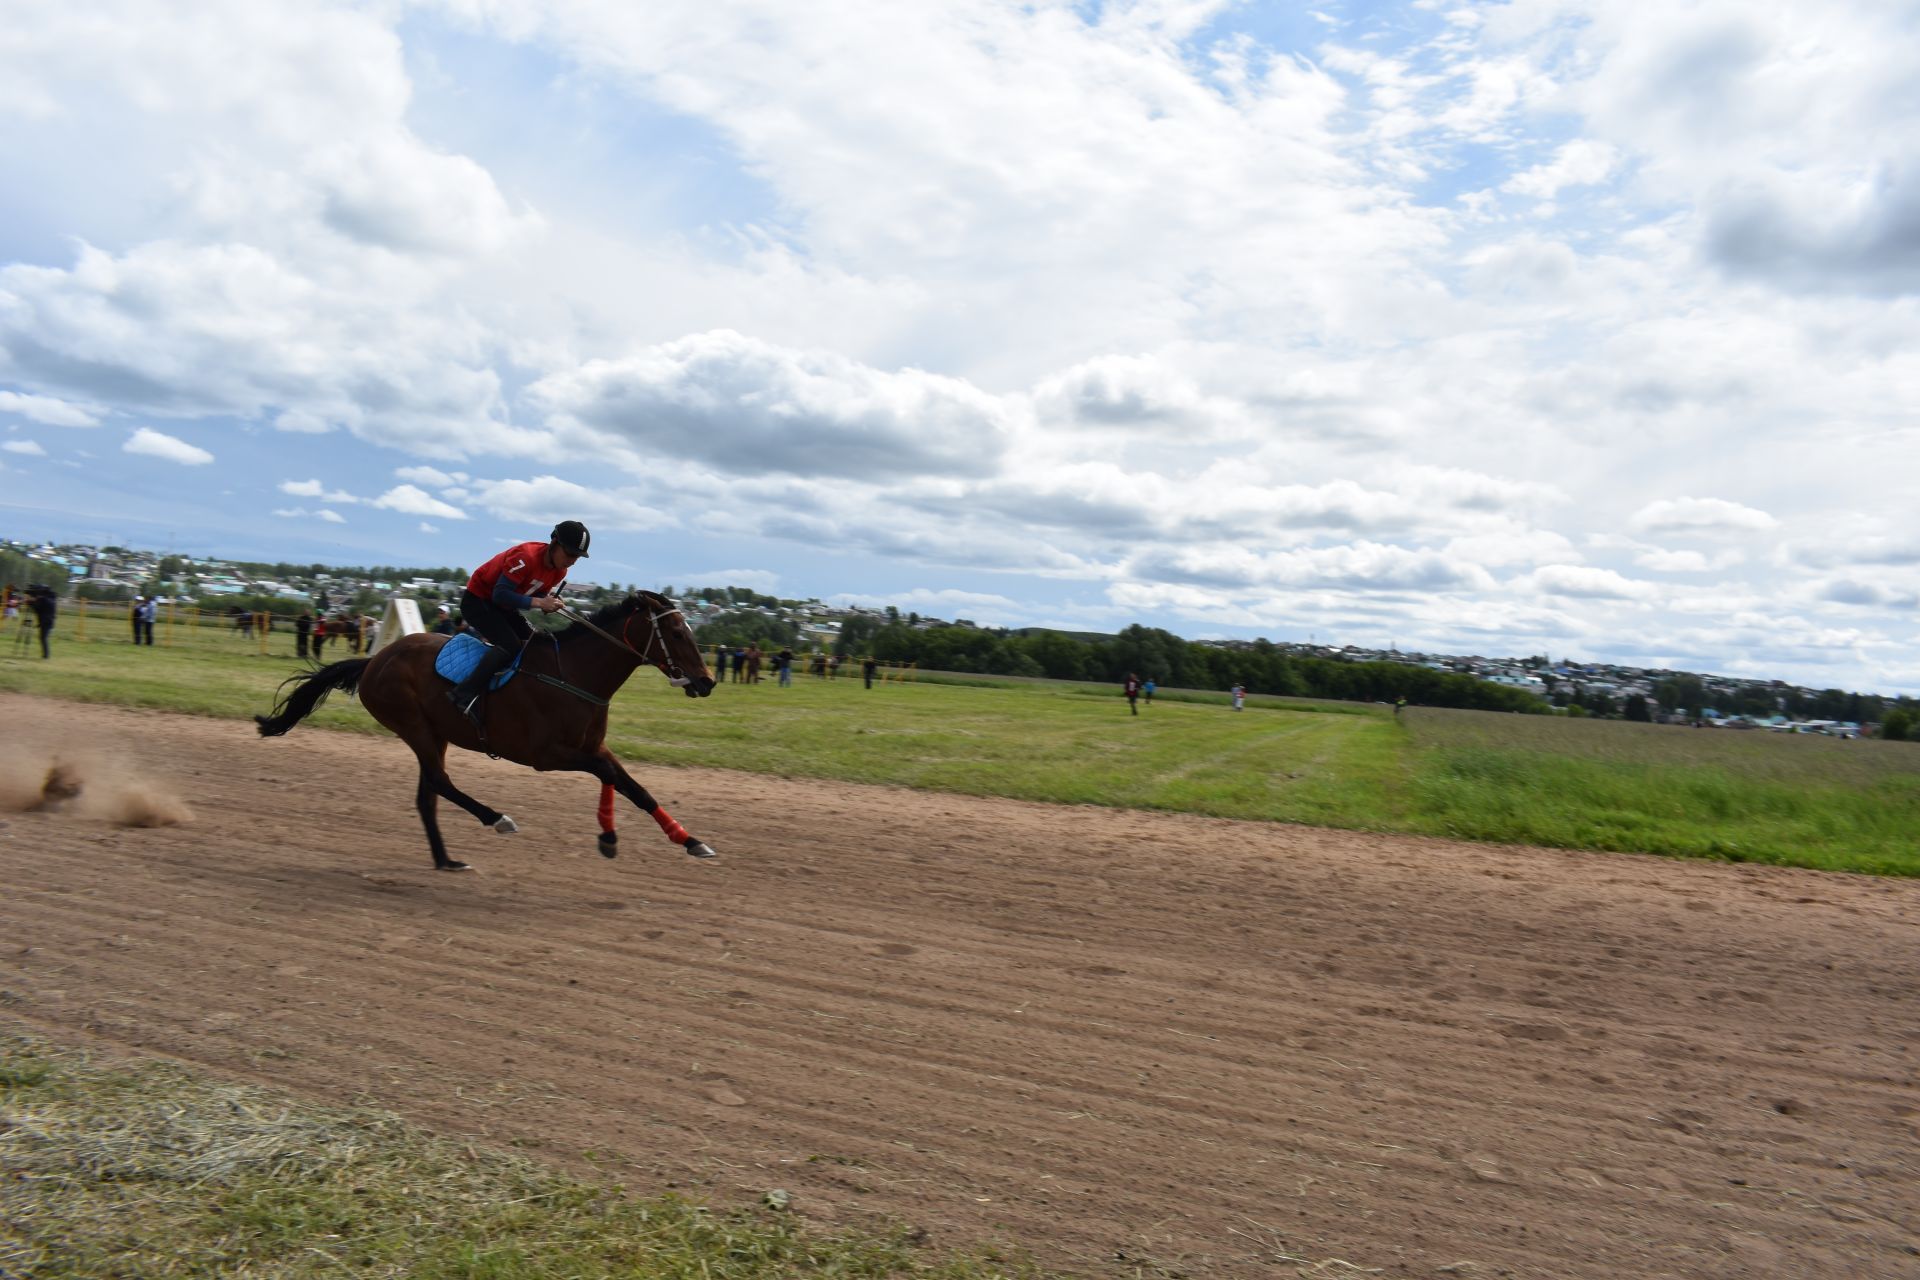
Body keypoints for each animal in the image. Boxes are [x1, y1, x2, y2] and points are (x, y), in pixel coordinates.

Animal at [259, 591, 718, 871]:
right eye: (675, 632)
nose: (707, 681)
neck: (573, 674)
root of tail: (373, 661)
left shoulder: (594, 748)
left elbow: (635, 788)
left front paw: (690, 840)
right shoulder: (547, 756)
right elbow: (610, 778)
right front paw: (608, 837)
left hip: (435, 733)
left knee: (428, 793)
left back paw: (446, 860)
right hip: (413, 725)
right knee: (440, 783)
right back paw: (496, 818)